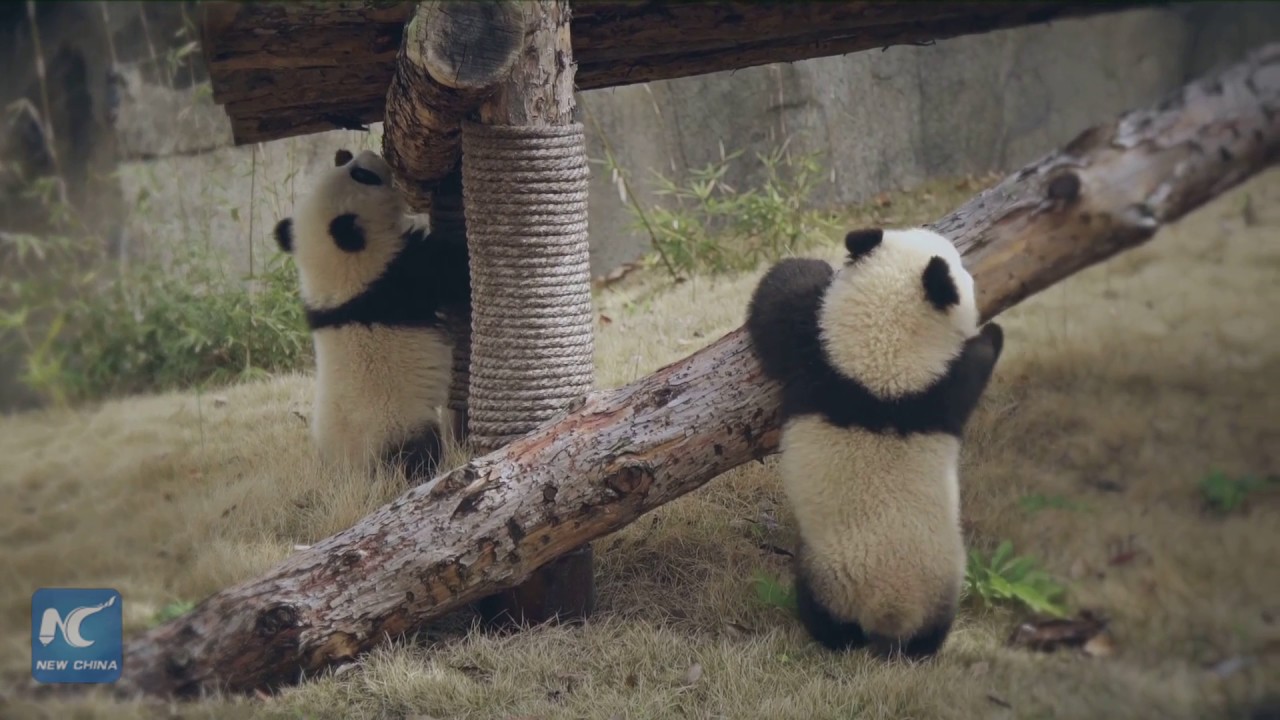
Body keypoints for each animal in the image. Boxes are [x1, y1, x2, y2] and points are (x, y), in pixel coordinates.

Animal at [272, 148, 470, 481]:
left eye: (342, 163)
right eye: (362, 176)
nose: (363, 153)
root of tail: (351, 470)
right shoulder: (397, 275)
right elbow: (454, 269)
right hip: (397, 424)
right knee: (417, 451)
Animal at [746, 226, 1005, 660]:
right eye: (962, 265)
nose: (976, 280)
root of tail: (891, 608)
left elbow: (778, 304)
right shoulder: (825, 352)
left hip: (882, 577)